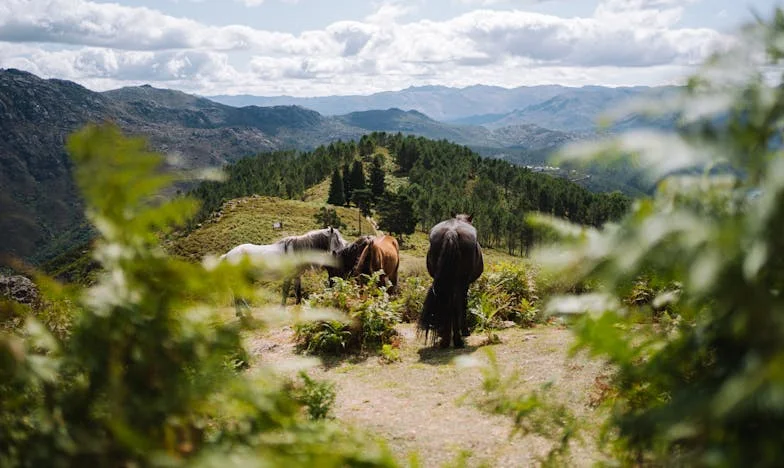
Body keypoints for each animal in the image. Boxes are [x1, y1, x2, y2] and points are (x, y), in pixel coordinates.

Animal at [420, 214, 480, 350]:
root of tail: (451, 232)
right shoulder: (465, 284)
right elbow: (463, 304)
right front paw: (465, 330)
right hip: (459, 281)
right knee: (455, 303)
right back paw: (456, 340)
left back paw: (446, 339)